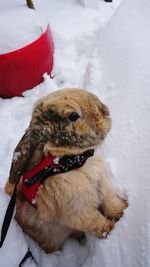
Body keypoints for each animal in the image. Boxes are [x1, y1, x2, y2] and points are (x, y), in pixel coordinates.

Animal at [4, 89, 126, 253]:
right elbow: (98, 224)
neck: (69, 162)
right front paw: (112, 229)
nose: (106, 111)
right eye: (73, 116)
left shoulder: (103, 185)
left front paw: (124, 210)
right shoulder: (79, 212)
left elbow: (111, 202)